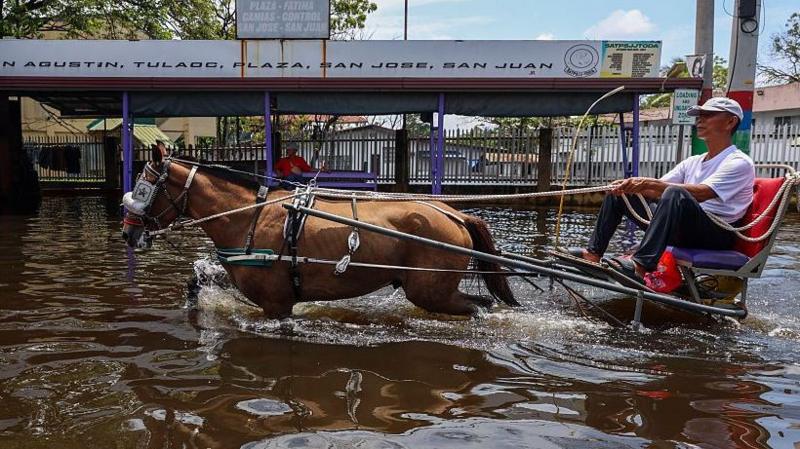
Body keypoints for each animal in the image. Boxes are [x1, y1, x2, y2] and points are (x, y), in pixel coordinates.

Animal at [121, 149, 517, 319]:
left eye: (143, 189)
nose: (128, 234)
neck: (247, 217)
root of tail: (454, 213)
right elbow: (196, 283)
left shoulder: (276, 306)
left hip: (431, 291)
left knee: (477, 308)